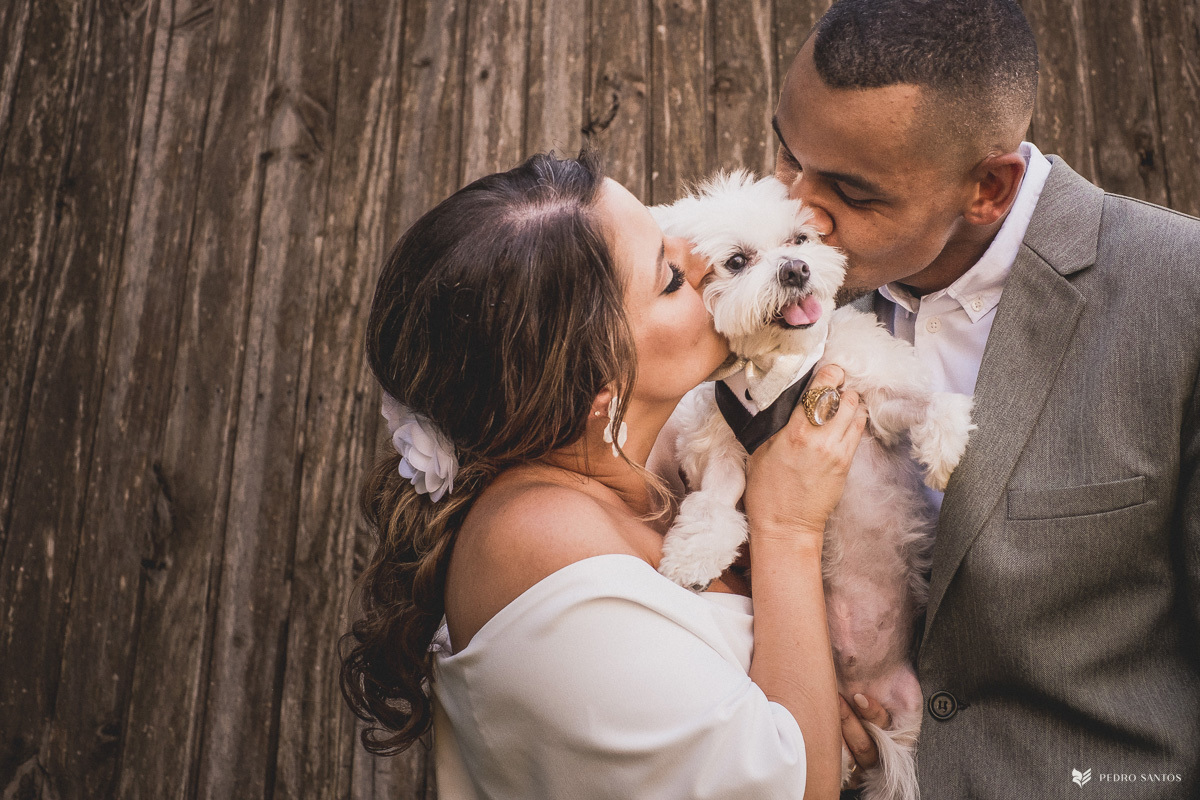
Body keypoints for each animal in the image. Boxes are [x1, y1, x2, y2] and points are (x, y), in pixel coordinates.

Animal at [650, 171, 975, 800]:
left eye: (799, 239)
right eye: (736, 261)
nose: (797, 269)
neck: (781, 375)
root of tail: (870, 691)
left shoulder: (878, 398)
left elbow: (924, 402)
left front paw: (946, 444)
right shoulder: (722, 442)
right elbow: (715, 502)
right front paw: (695, 553)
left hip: (910, 712)